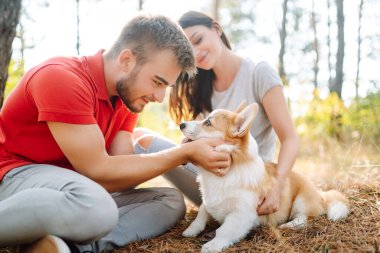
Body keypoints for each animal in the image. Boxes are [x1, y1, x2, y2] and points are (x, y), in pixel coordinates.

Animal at [180, 103, 348, 253]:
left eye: (208, 123)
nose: (181, 124)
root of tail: (321, 194)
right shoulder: (208, 201)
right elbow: (201, 213)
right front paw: (191, 230)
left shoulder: (240, 214)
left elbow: (224, 231)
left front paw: (212, 245)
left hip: (300, 201)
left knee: (303, 218)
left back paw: (288, 225)